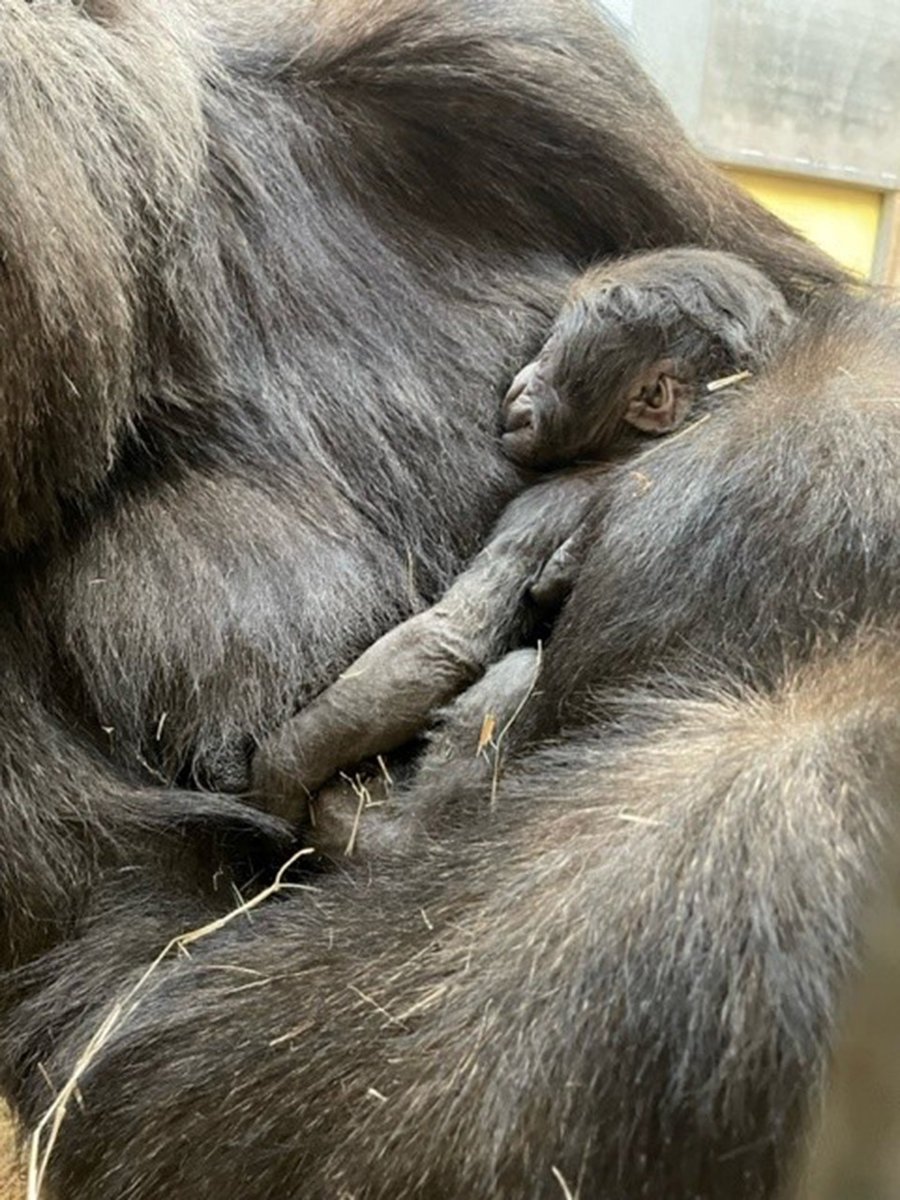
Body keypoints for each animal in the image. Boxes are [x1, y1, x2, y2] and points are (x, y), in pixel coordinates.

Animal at [253, 247, 793, 818]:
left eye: (552, 351)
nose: (520, 378)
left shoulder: (542, 504)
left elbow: (447, 639)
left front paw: (279, 772)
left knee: (514, 676)